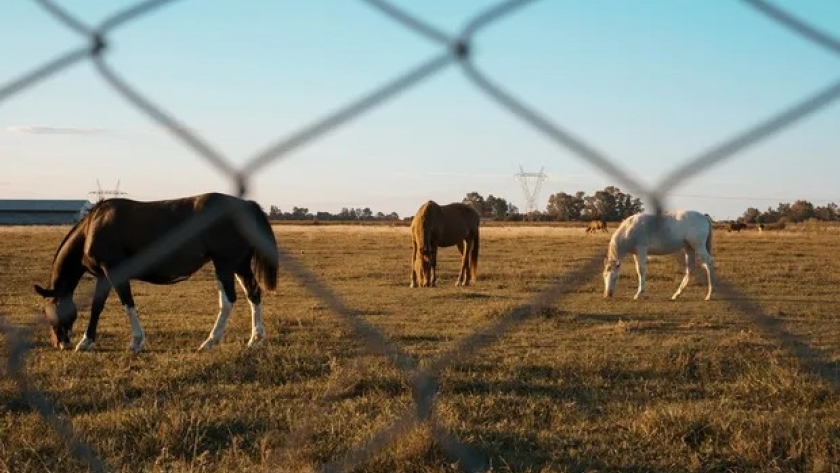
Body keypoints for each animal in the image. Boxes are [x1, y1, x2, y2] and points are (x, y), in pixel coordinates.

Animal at [33, 191, 278, 350]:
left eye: (47, 310)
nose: (60, 343)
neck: (92, 226)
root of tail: (246, 205)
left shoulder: (114, 271)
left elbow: (128, 304)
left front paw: (136, 341)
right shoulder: (103, 276)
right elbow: (97, 307)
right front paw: (87, 341)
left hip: (224, 265)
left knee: (228, 301)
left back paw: (210, 341)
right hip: (239, 265)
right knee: (253, 295)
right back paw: (255, 339)